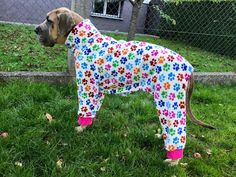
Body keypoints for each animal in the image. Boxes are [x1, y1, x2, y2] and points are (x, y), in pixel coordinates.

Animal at [35, 7, 216, 166]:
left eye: (49, 20)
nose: (36, 30)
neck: (86, 41)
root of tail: (189, 66)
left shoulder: (88, 87)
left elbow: (85, 109)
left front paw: (80, 128)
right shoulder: (97, 91)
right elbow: (92, 110)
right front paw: (86, 125)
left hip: (169, 101)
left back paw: (173, 160)